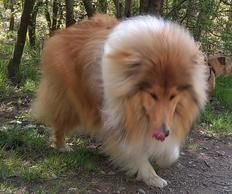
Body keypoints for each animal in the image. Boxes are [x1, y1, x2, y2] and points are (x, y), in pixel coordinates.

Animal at [31, 14, 208, 188]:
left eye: (172, 96)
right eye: (152, 94)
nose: (163, 132)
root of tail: (62, 32)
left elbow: (172, 152)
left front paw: (164, 158)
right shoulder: (118, 116)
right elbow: (135, 150)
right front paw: (152, 176)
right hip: (70, 102)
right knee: (59, 124)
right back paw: (62, 147)